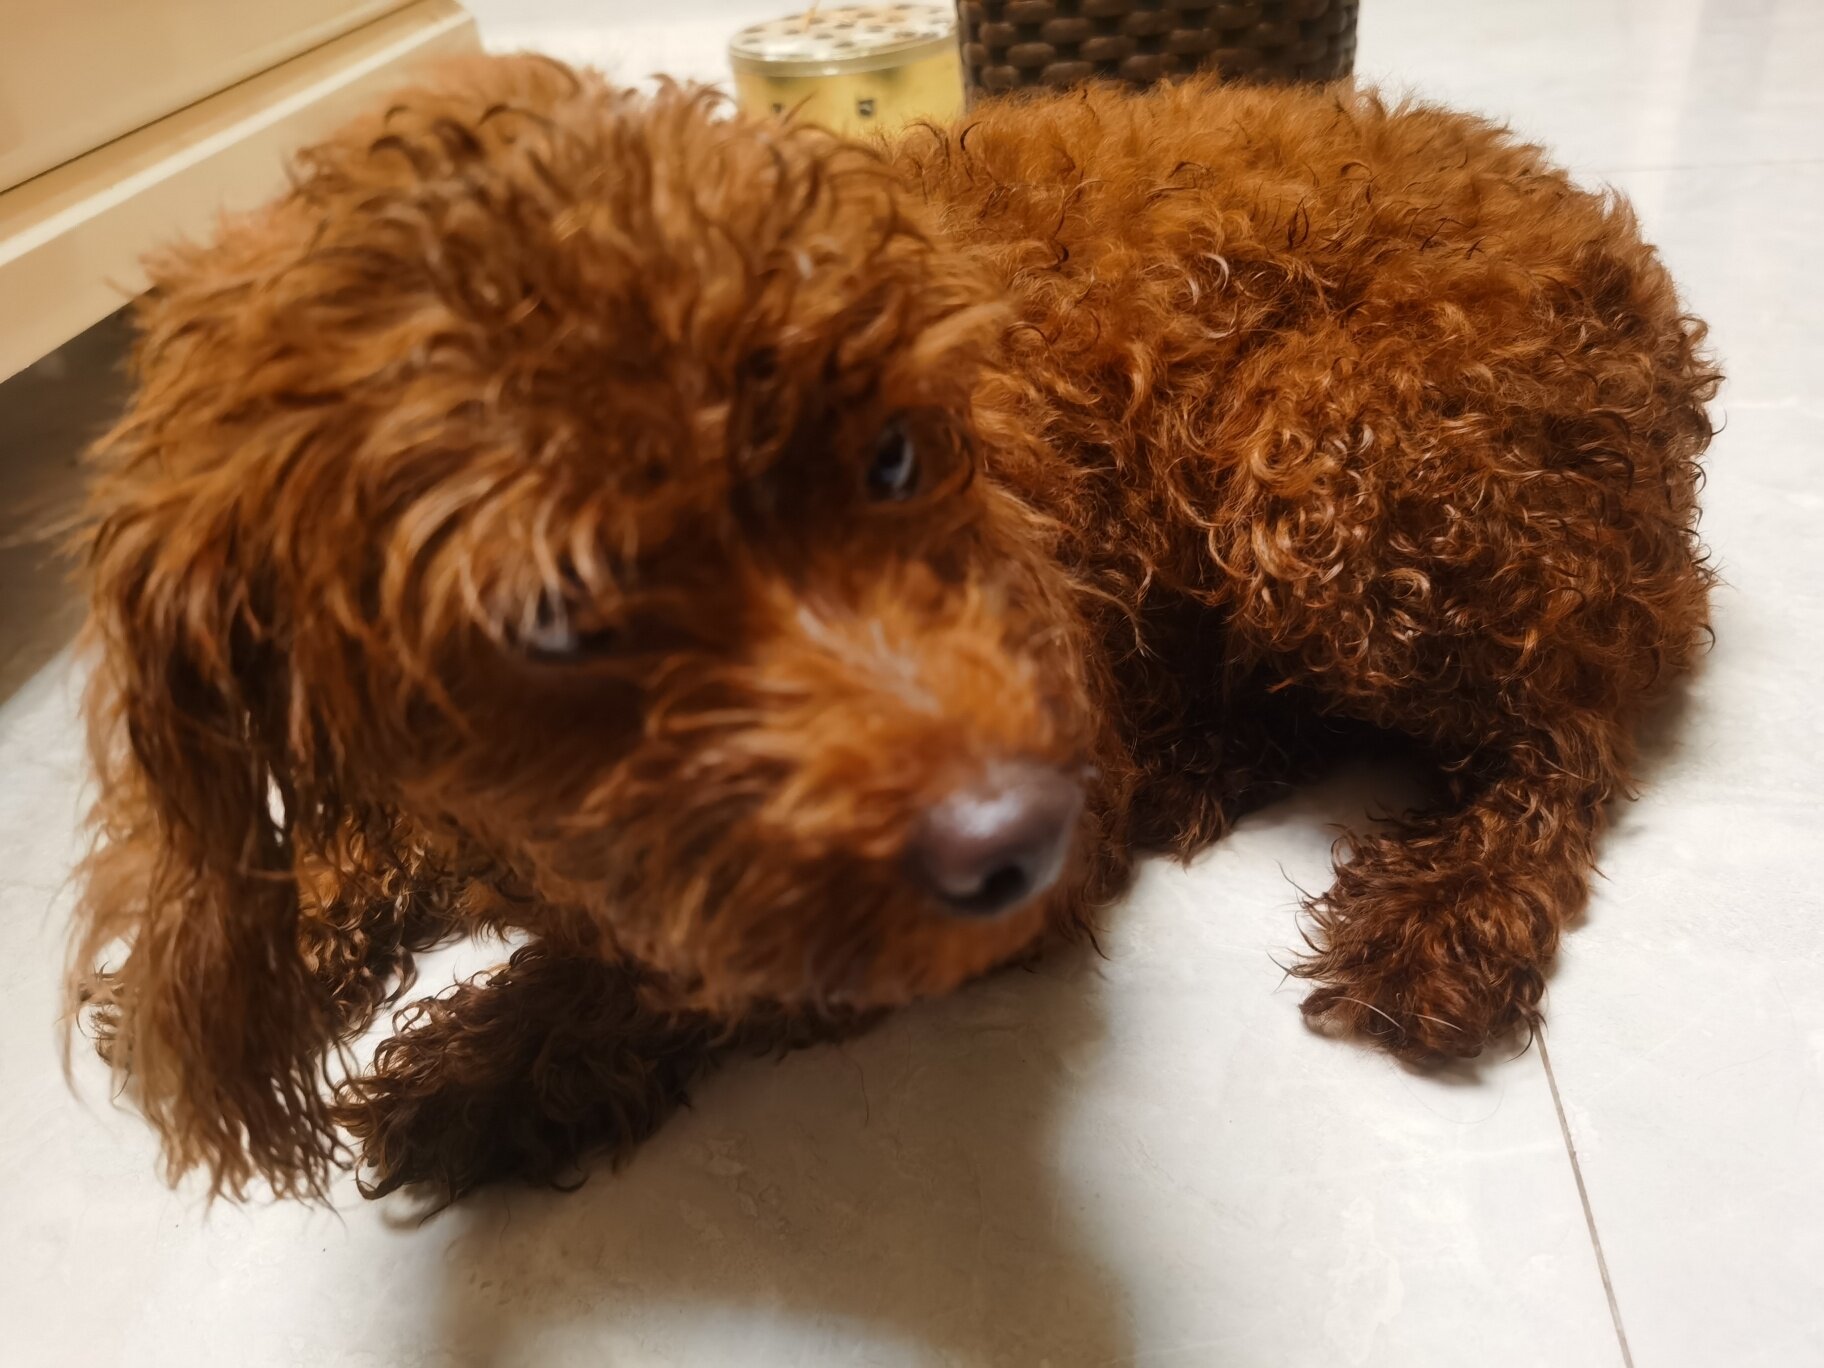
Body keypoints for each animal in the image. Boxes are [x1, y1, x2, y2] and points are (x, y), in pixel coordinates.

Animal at [69, 56, 1719, 1201]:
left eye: (891, 466)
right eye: (553, 612)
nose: (1015, 834)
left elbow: (699, 970)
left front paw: (497, 1061)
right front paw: (293, 935)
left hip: (1338, 465)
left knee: (1571, 728)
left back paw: (1445, 914)